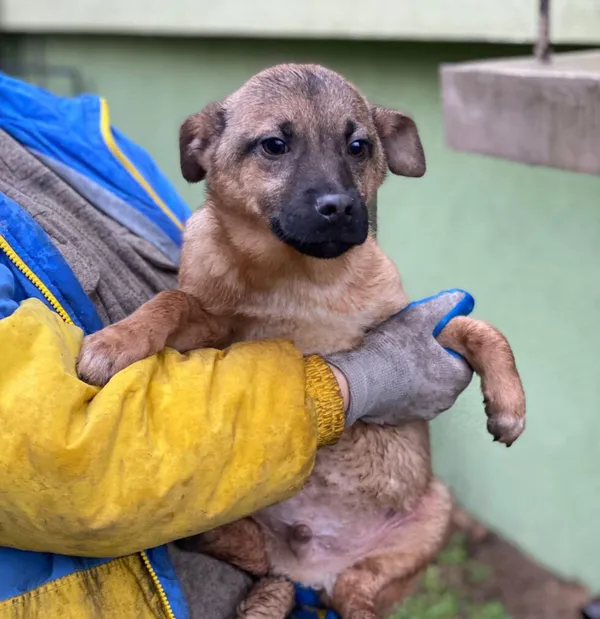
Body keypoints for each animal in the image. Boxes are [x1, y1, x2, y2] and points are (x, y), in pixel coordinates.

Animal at [77, 65, 524, 616]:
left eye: (358, 146)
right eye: (274, 145)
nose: (340, 206)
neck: (302, 278)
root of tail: (312, 570)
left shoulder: (409, 321)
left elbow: (482, 329)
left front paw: (509, 404)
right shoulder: (210, 333)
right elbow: (171, 301)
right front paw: (117, 340)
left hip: (430, 514)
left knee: (355, 591)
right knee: (255, 557)